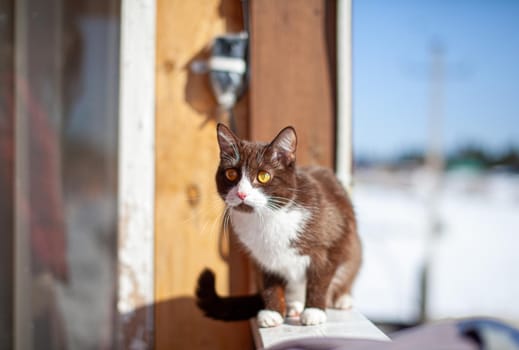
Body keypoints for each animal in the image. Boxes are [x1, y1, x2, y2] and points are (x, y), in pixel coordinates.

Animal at [196, 123, 362, 328]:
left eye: (263, 176)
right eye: (231, 174)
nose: (242, 194)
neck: (268, 217)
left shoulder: (333, 236)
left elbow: (320, 277)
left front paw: (314, 310)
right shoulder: (260, 255)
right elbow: (269, 281)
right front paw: (272, 312)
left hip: (353, 247)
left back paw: (341, 298)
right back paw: (293, 305)